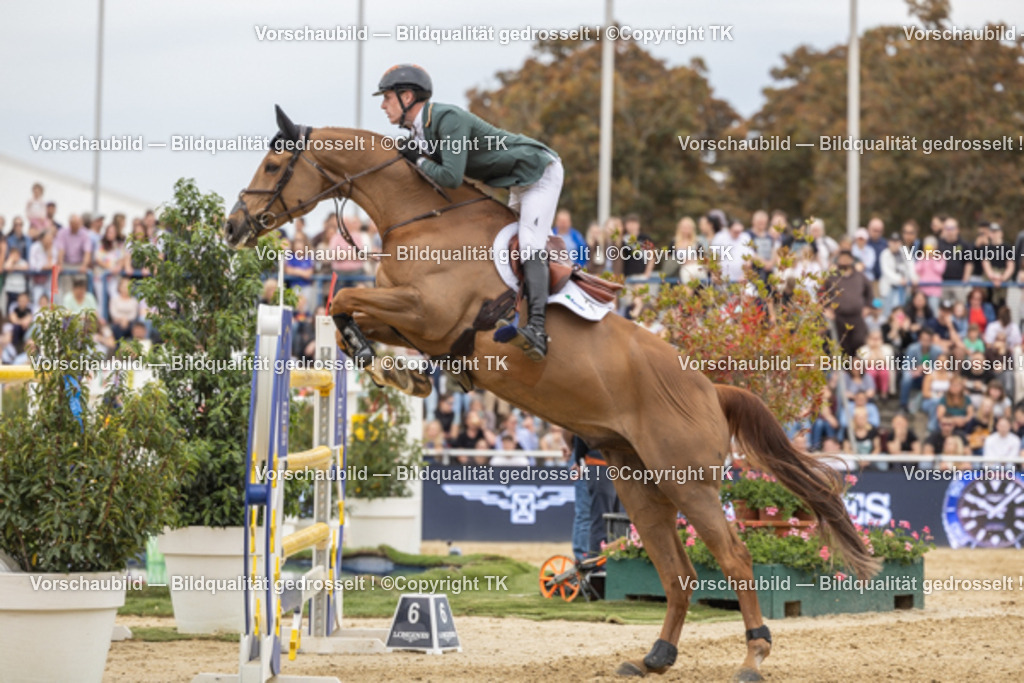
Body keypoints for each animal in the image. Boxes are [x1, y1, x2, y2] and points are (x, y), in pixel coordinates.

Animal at [225, 107, 880, 680]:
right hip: (637, 482)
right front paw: (398, 370)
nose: (232, 226)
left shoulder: (428, 314)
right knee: (679, 572)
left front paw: (389, 367)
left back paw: (753, 657)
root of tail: (710, 387)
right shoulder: (412, 320)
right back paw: (653, 658)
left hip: (688, 483)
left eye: (272, 164)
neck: (420, 217)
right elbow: (347, 310)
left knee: (735, 559)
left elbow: (344, 298)